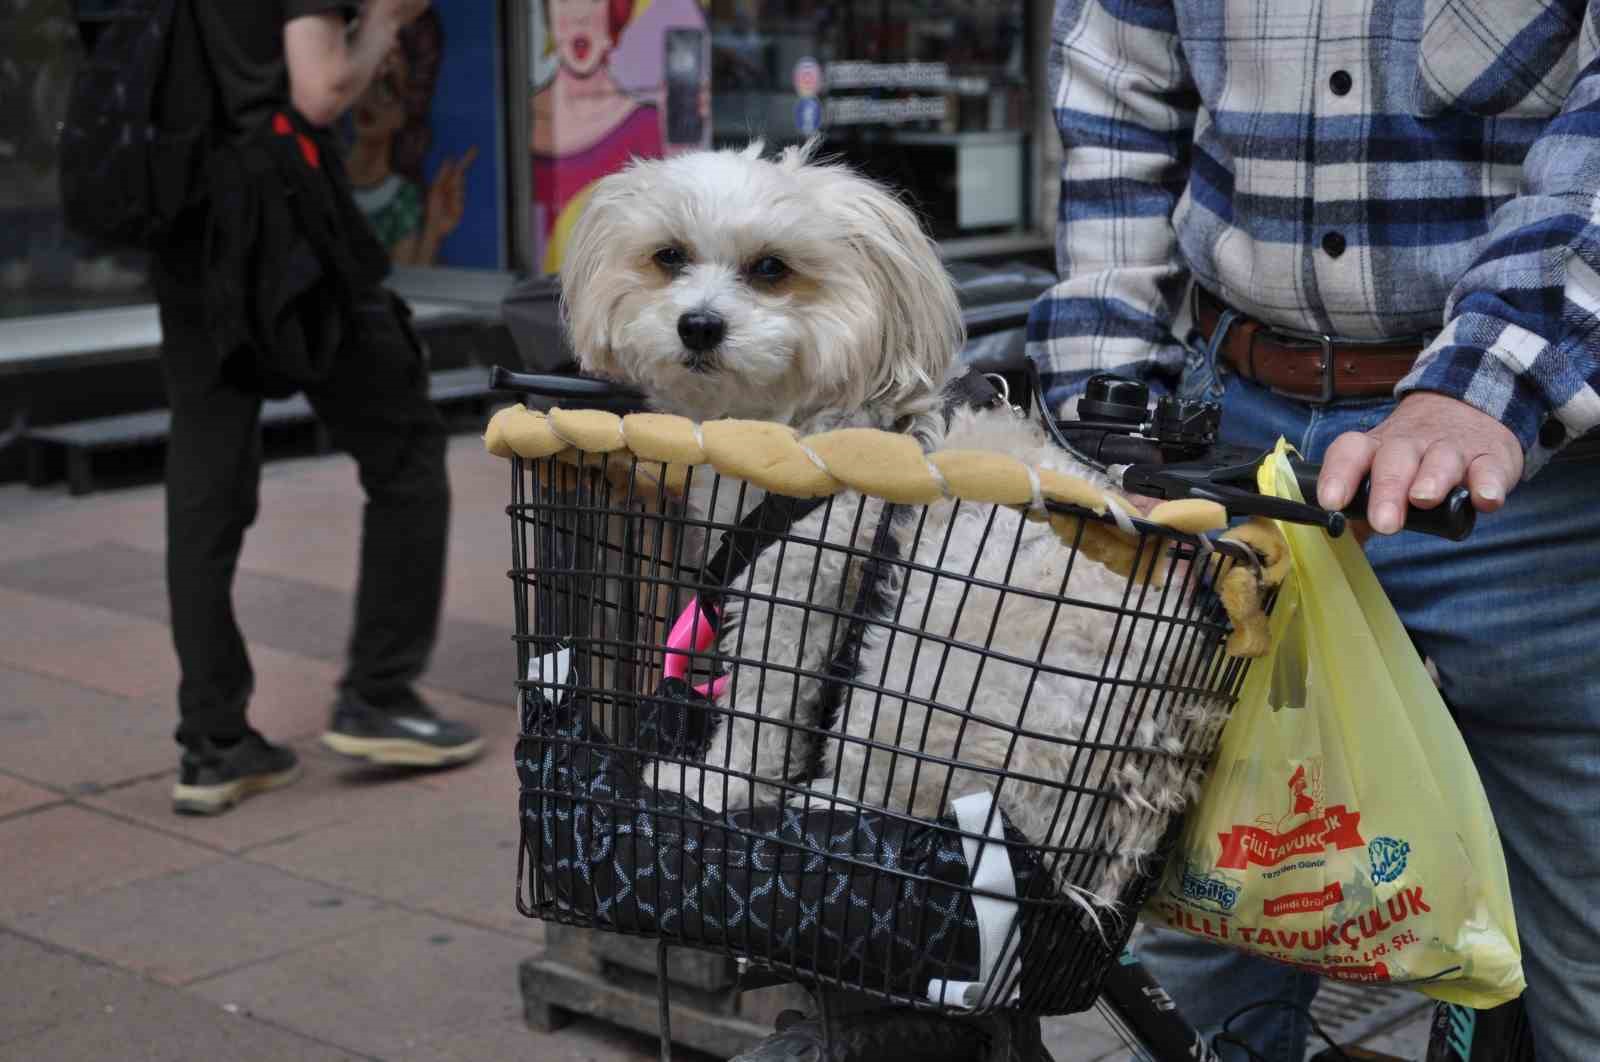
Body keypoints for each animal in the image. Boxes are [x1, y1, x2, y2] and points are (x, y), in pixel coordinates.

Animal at [560, 140, 1209, 914]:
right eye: (669, 256)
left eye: (771, 269)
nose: (699, 325)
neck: (812, 422)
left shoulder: (798, 590)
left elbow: (761, 715)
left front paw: (712, 788)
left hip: (916, 678)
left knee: (886, 797)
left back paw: (819, 809)